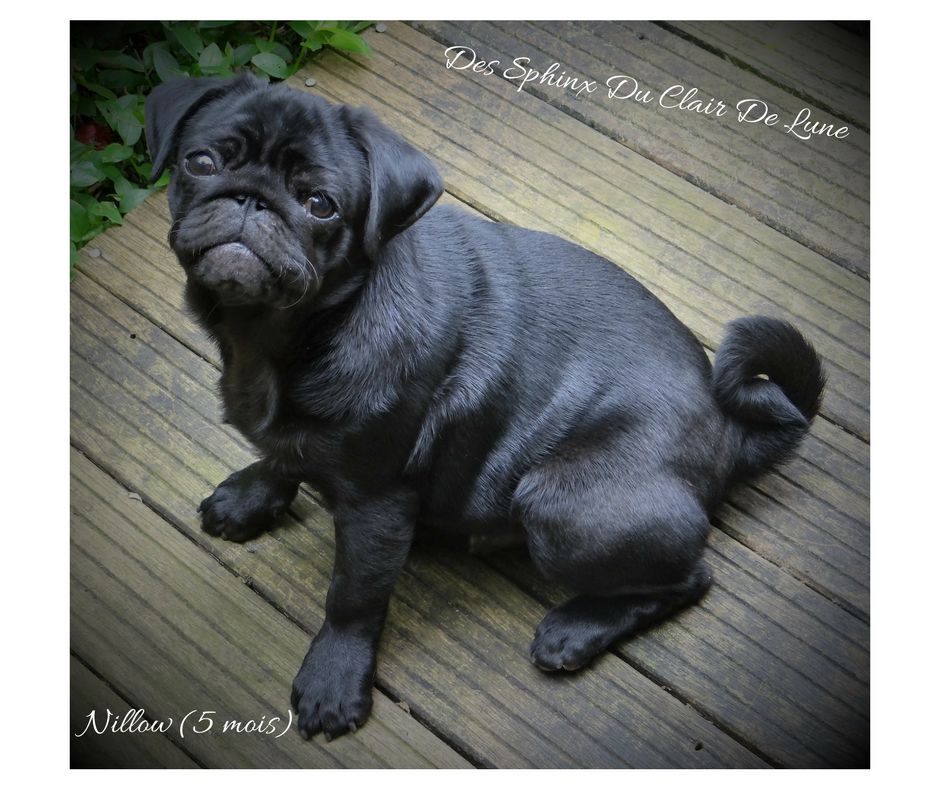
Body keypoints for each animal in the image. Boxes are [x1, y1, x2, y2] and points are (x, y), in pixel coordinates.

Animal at [145, 74, 824, 741]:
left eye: (320, 204)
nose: (250, 199)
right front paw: (252, 494)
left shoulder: (376, 503)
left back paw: (576, 629)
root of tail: (730, 429)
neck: (277, 336)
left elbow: (353, 599)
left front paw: (333, 678)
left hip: (558, 504)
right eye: (200, 163)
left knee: (692, 578)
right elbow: (282, 456)